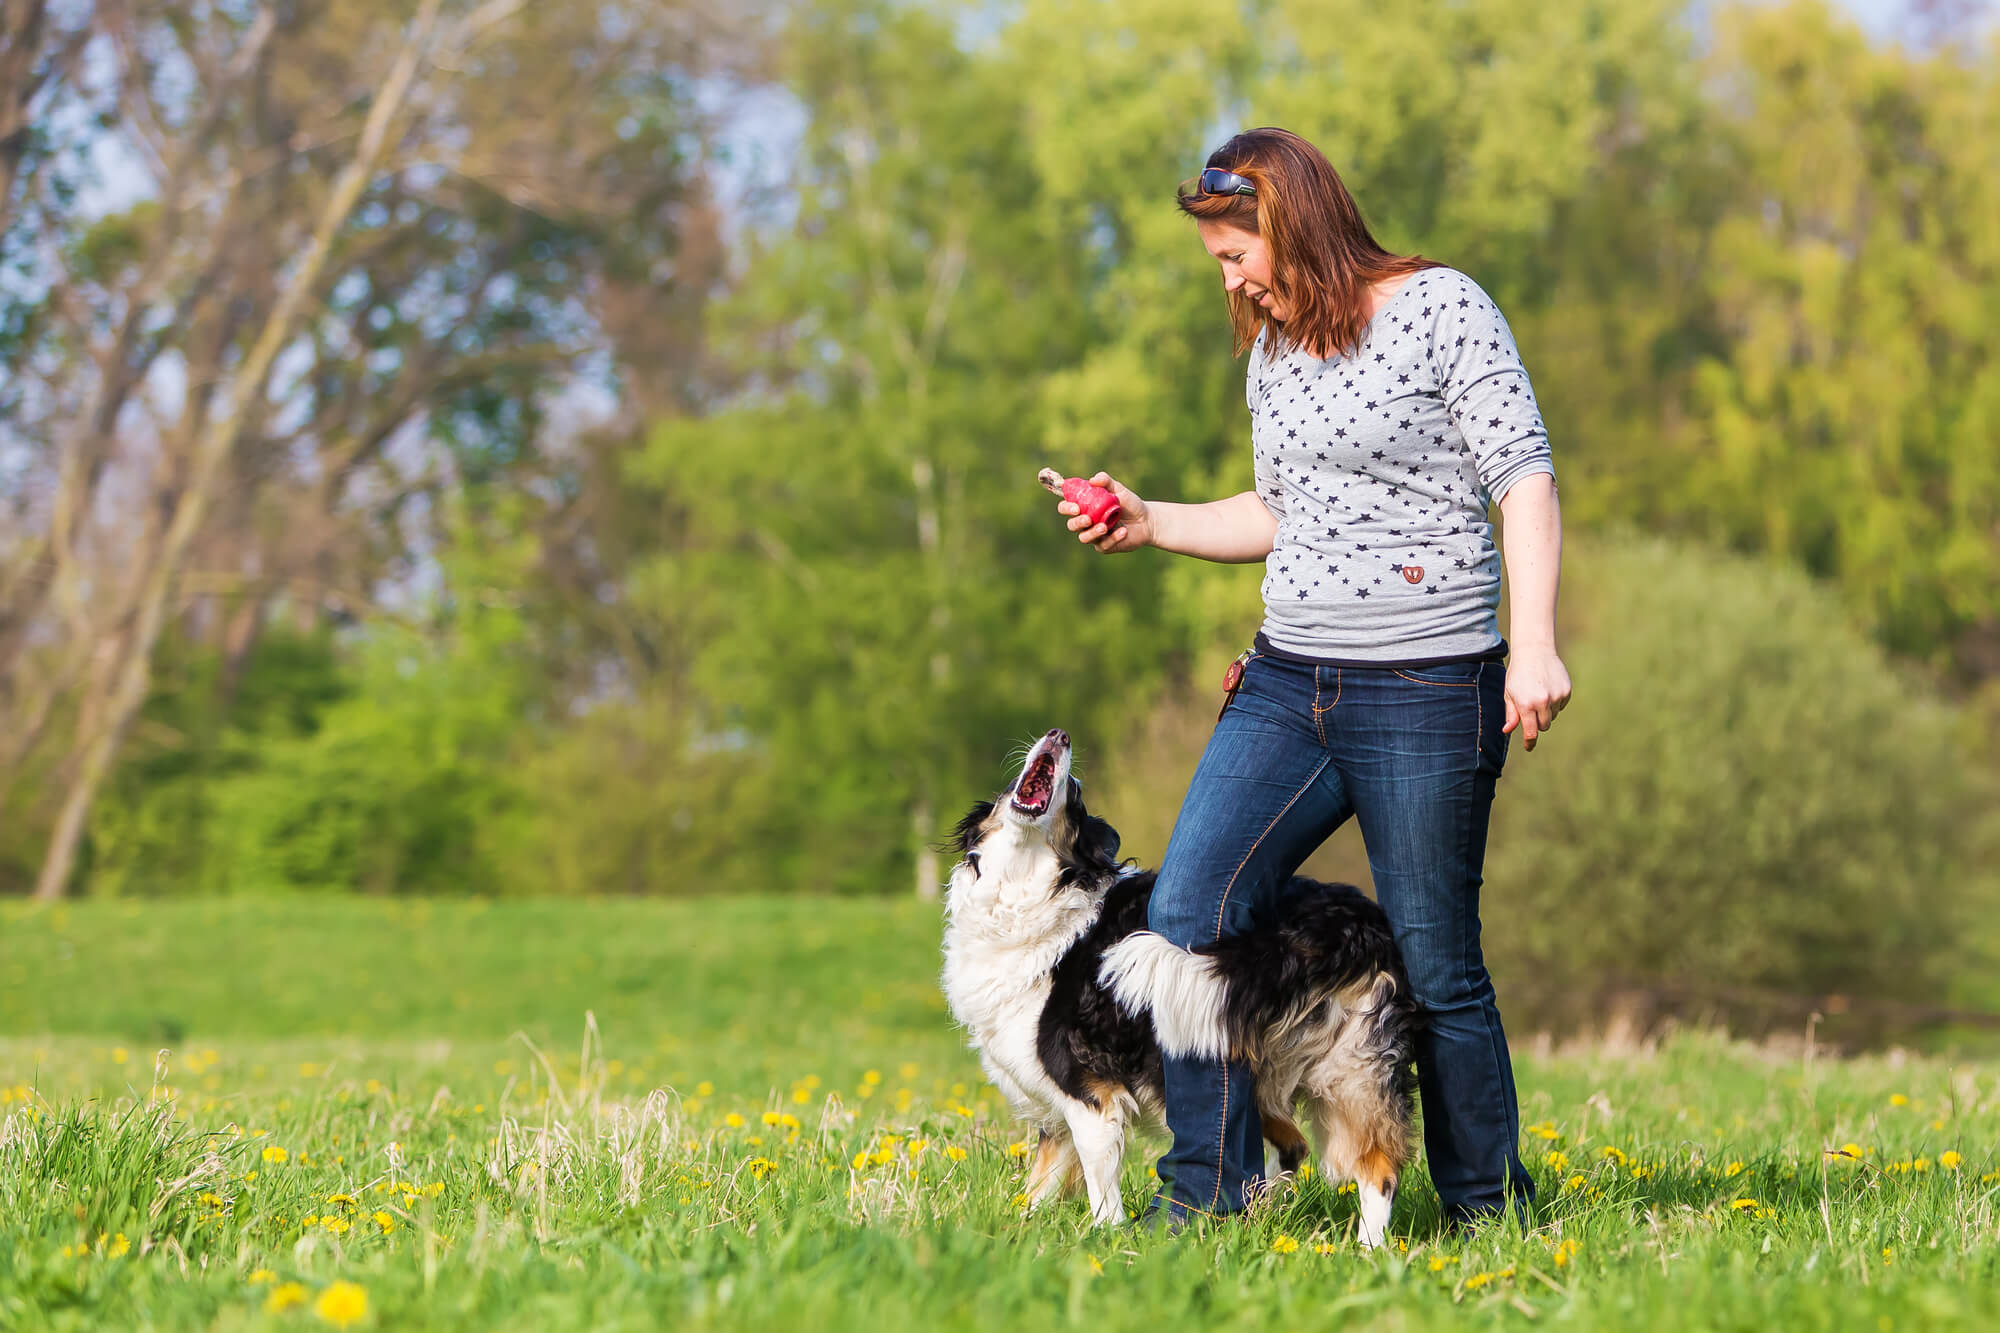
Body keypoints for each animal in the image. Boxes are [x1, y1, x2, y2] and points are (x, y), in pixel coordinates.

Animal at [940, 720, 1424, 1240]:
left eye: (1076, 798)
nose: (1060, 735)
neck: (1031, 893)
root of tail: (1353, 921)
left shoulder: (1088, 1089)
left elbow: (1097, 1177)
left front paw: (1108, 1237)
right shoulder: (1058, 1101)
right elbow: (1039, 1184)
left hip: (1340, 1070)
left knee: (1377, 1170)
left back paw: (1367, 1248)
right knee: (1296, 1147)